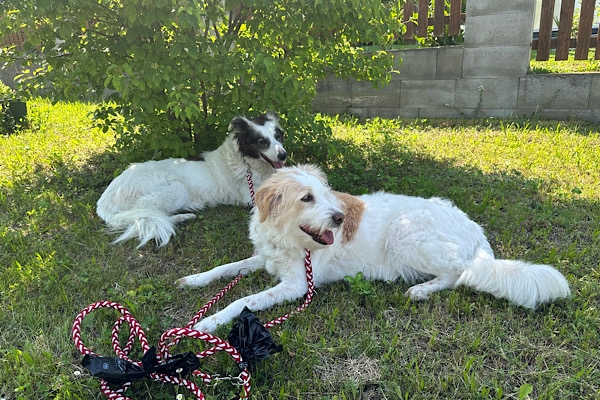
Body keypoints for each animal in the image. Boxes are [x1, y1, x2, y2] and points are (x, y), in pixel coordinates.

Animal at [96, 111, 288, 247]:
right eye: (262, 141)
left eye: (278, 136)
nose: (283, 155)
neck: (246, 161)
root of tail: (104, 202)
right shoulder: (250, 197)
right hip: (175, 188)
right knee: (148, 214)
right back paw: (181, 217)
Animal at [179, 164, 572, 332]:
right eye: (307, 198)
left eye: (326, 195)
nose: (340, 218)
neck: (289, 238)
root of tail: (477, 234)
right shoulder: (265, 257)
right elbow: (227, 269)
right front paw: (194, 280)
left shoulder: (296, 285)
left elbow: (241, 300)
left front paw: (208, 322)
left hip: (404, 235)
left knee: (460, 273)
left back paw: (421, 290)